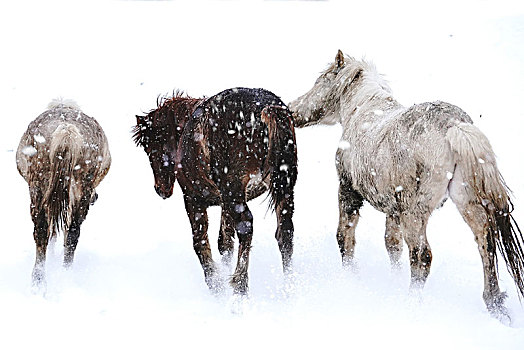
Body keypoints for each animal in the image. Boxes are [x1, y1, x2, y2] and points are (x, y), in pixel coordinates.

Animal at [16, 99, 110, 290]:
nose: (95, 197)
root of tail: (67, 131)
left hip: (40, 188)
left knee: (45, 231)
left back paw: (41, 281)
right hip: (75, 191)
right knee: (69, 232)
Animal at [134, 88, 298, 296]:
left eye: (150, 147)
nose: (160, 189)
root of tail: (266, 109)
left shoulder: (193, 198)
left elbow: (200, 242)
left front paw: (215, 284)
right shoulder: (225, 202)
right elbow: (225, 243)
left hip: (233, 191)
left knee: (246, 226)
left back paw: (239, 287)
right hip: (282, 189)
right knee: (285, 232)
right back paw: (288, 286)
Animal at [288, 50, 524, 320]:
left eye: (321, 81)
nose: (292, 110)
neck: (364, 111)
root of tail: (455, 126)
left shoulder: (348, 190)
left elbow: (344, 237)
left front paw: (350, 279)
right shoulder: (393, 208)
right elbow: (392, 244)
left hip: (416, 212)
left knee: (422, 255)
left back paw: (412, 303)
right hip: (467, 201)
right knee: (486, 242)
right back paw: (494, 304)